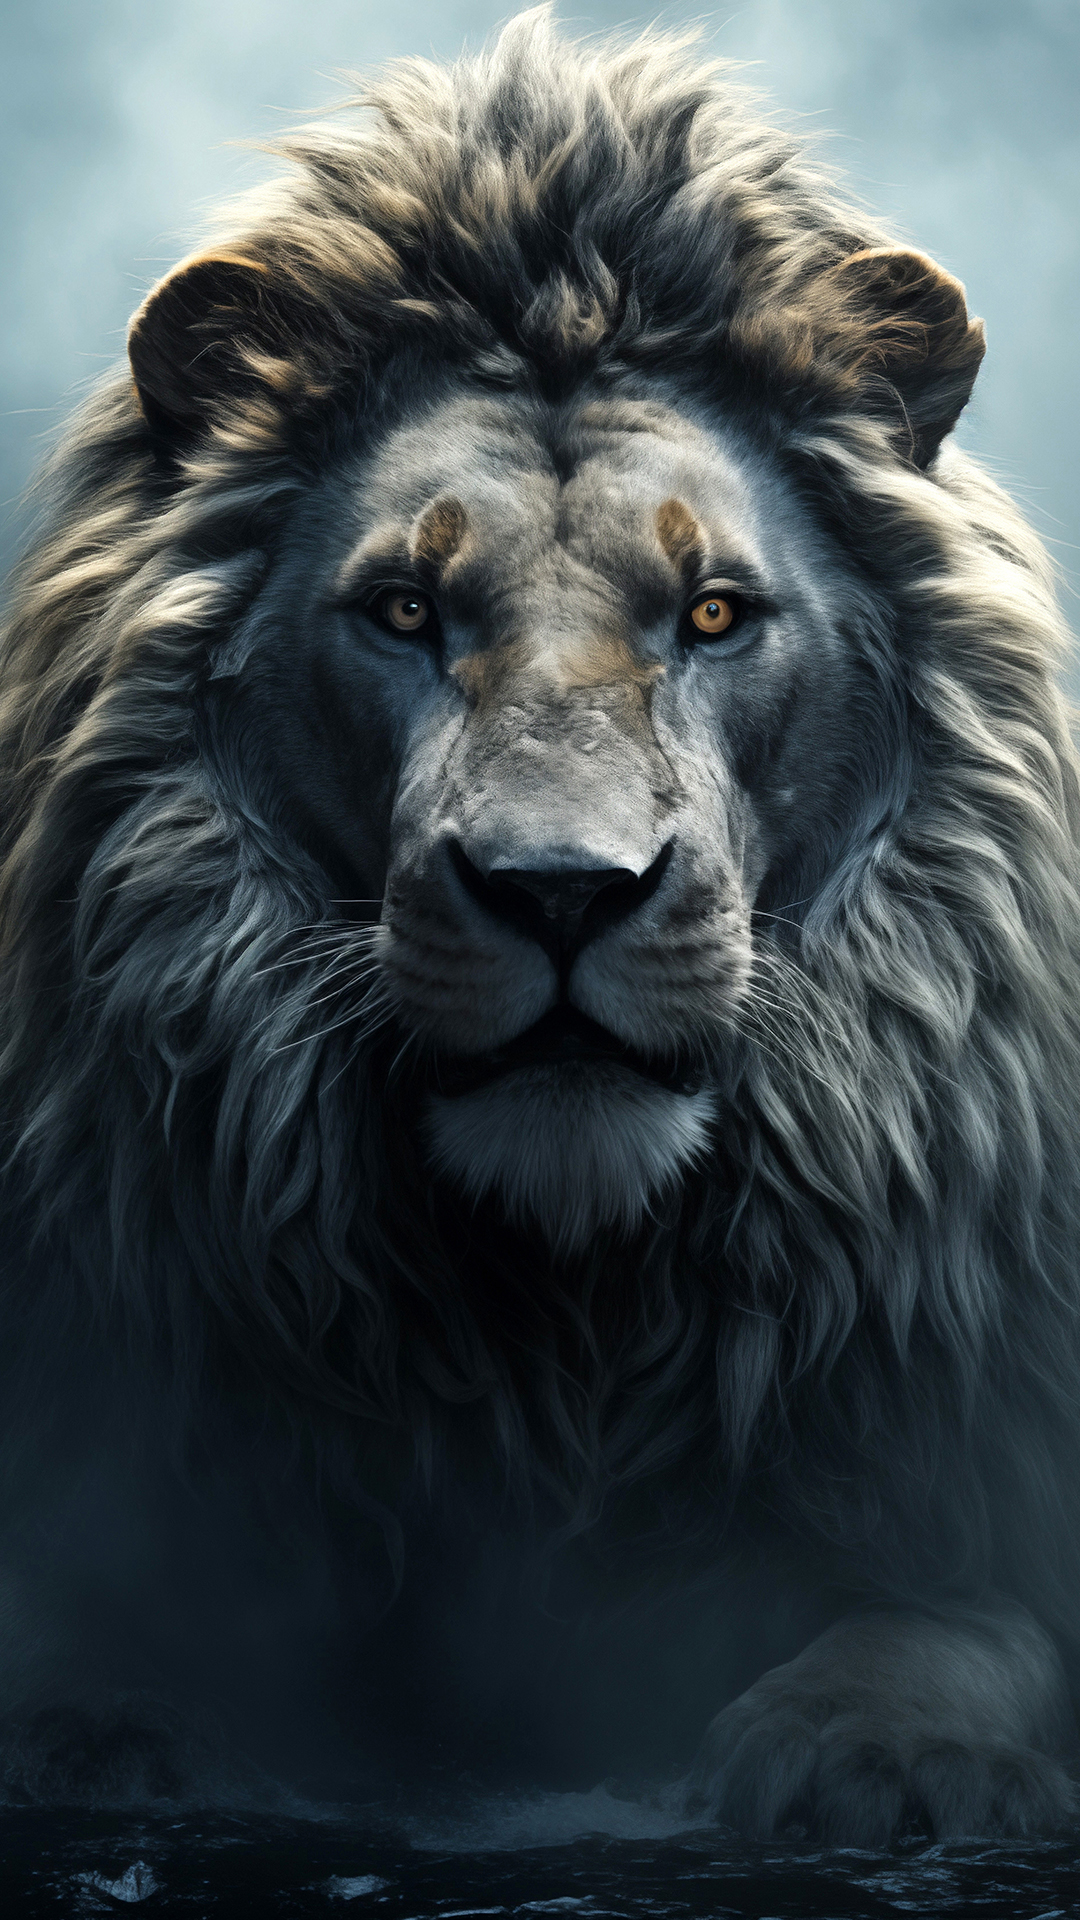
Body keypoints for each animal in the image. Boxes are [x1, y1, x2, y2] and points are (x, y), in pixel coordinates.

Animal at [1, 7, 1079, 1844]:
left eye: (712, 615)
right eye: (403, 611)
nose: (564, 891)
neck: (559, 1323)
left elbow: (959, 1613)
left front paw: (877, 1747)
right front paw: (91, 1727)